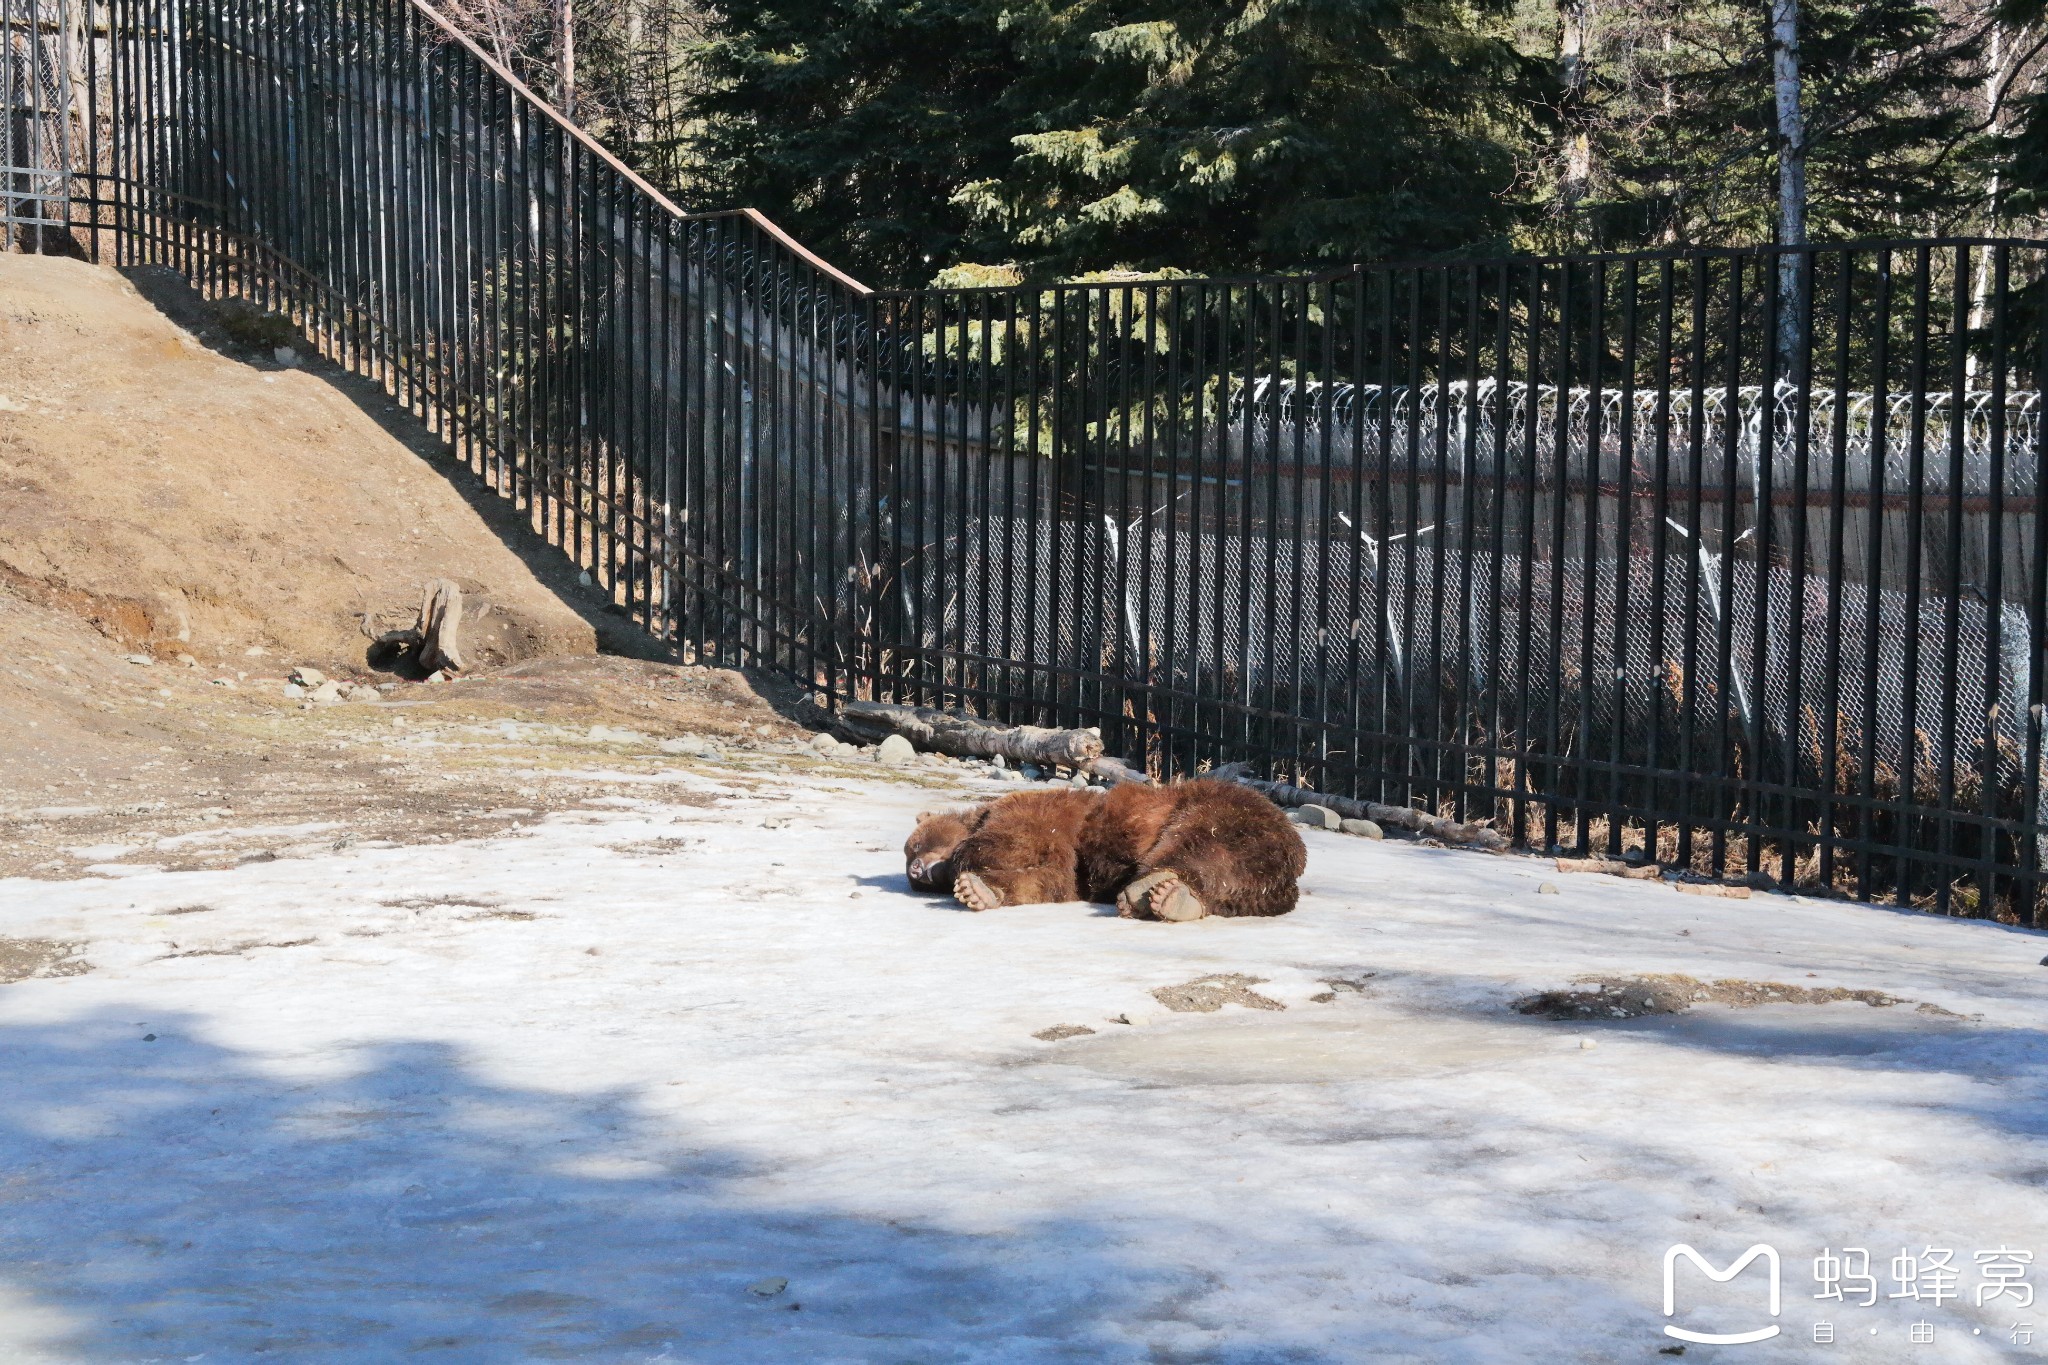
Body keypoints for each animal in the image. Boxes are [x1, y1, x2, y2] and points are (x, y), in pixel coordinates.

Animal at [901, 785, 1310, 925]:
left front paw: (965, 865)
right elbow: (1045, 880)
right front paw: (977, 891)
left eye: (913, 847)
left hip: (1217, 811)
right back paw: (1174, 900)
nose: (918, 870)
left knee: (1189, 842)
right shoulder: (1071, 871)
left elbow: (1011, 839)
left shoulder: (1037, 814)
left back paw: (1150, 891)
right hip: (1256, 885)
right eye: (910, 860)